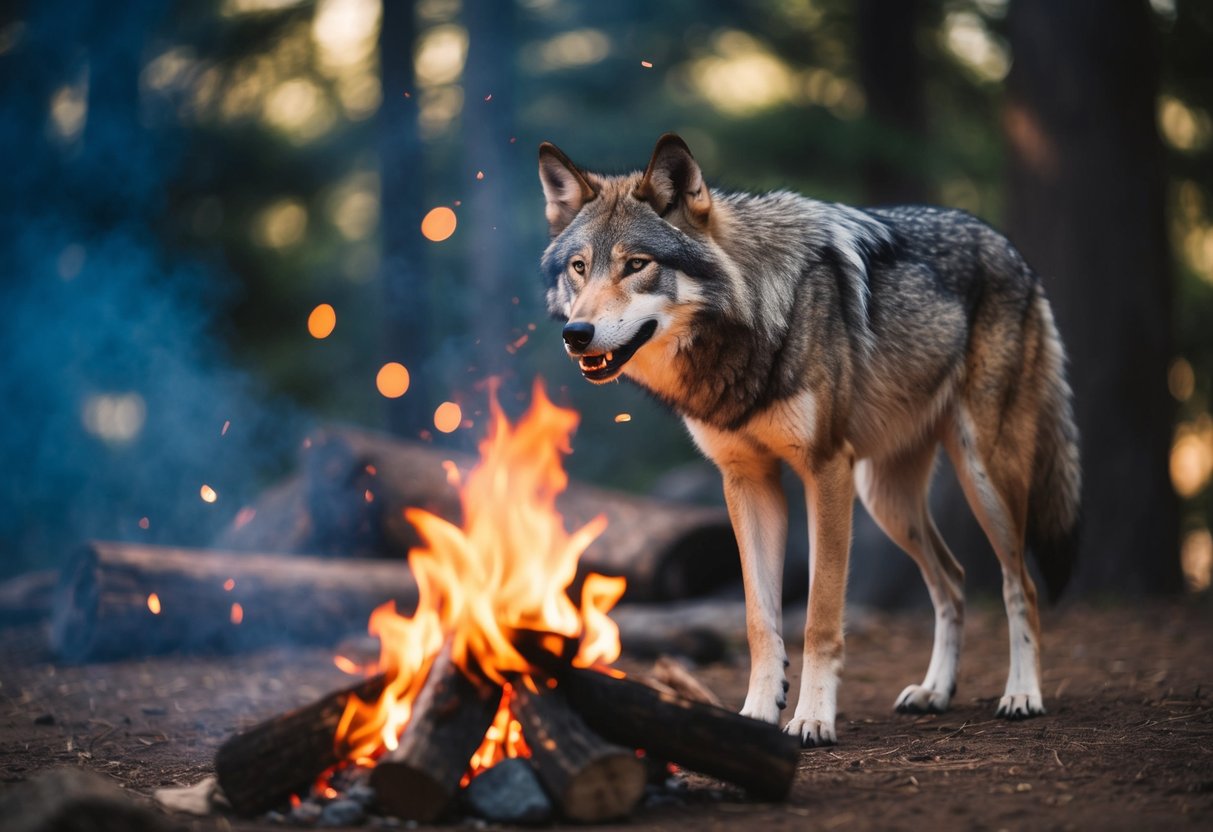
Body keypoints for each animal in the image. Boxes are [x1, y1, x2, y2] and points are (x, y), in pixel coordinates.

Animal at [537, 134, 1081, 746]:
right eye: (580, 268)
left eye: (636, 265)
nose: (576, 334)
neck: (751, 322)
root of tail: (1010, 248)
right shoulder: (748, 482)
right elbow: (759, 621)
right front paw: (756, 714)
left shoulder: (826, 472)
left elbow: (820, 618)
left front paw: (814, 718)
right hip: (889, 502)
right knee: (955, 582)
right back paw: (934, 691)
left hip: (982, 478)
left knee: (1021, 586)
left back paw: (1023, 694)